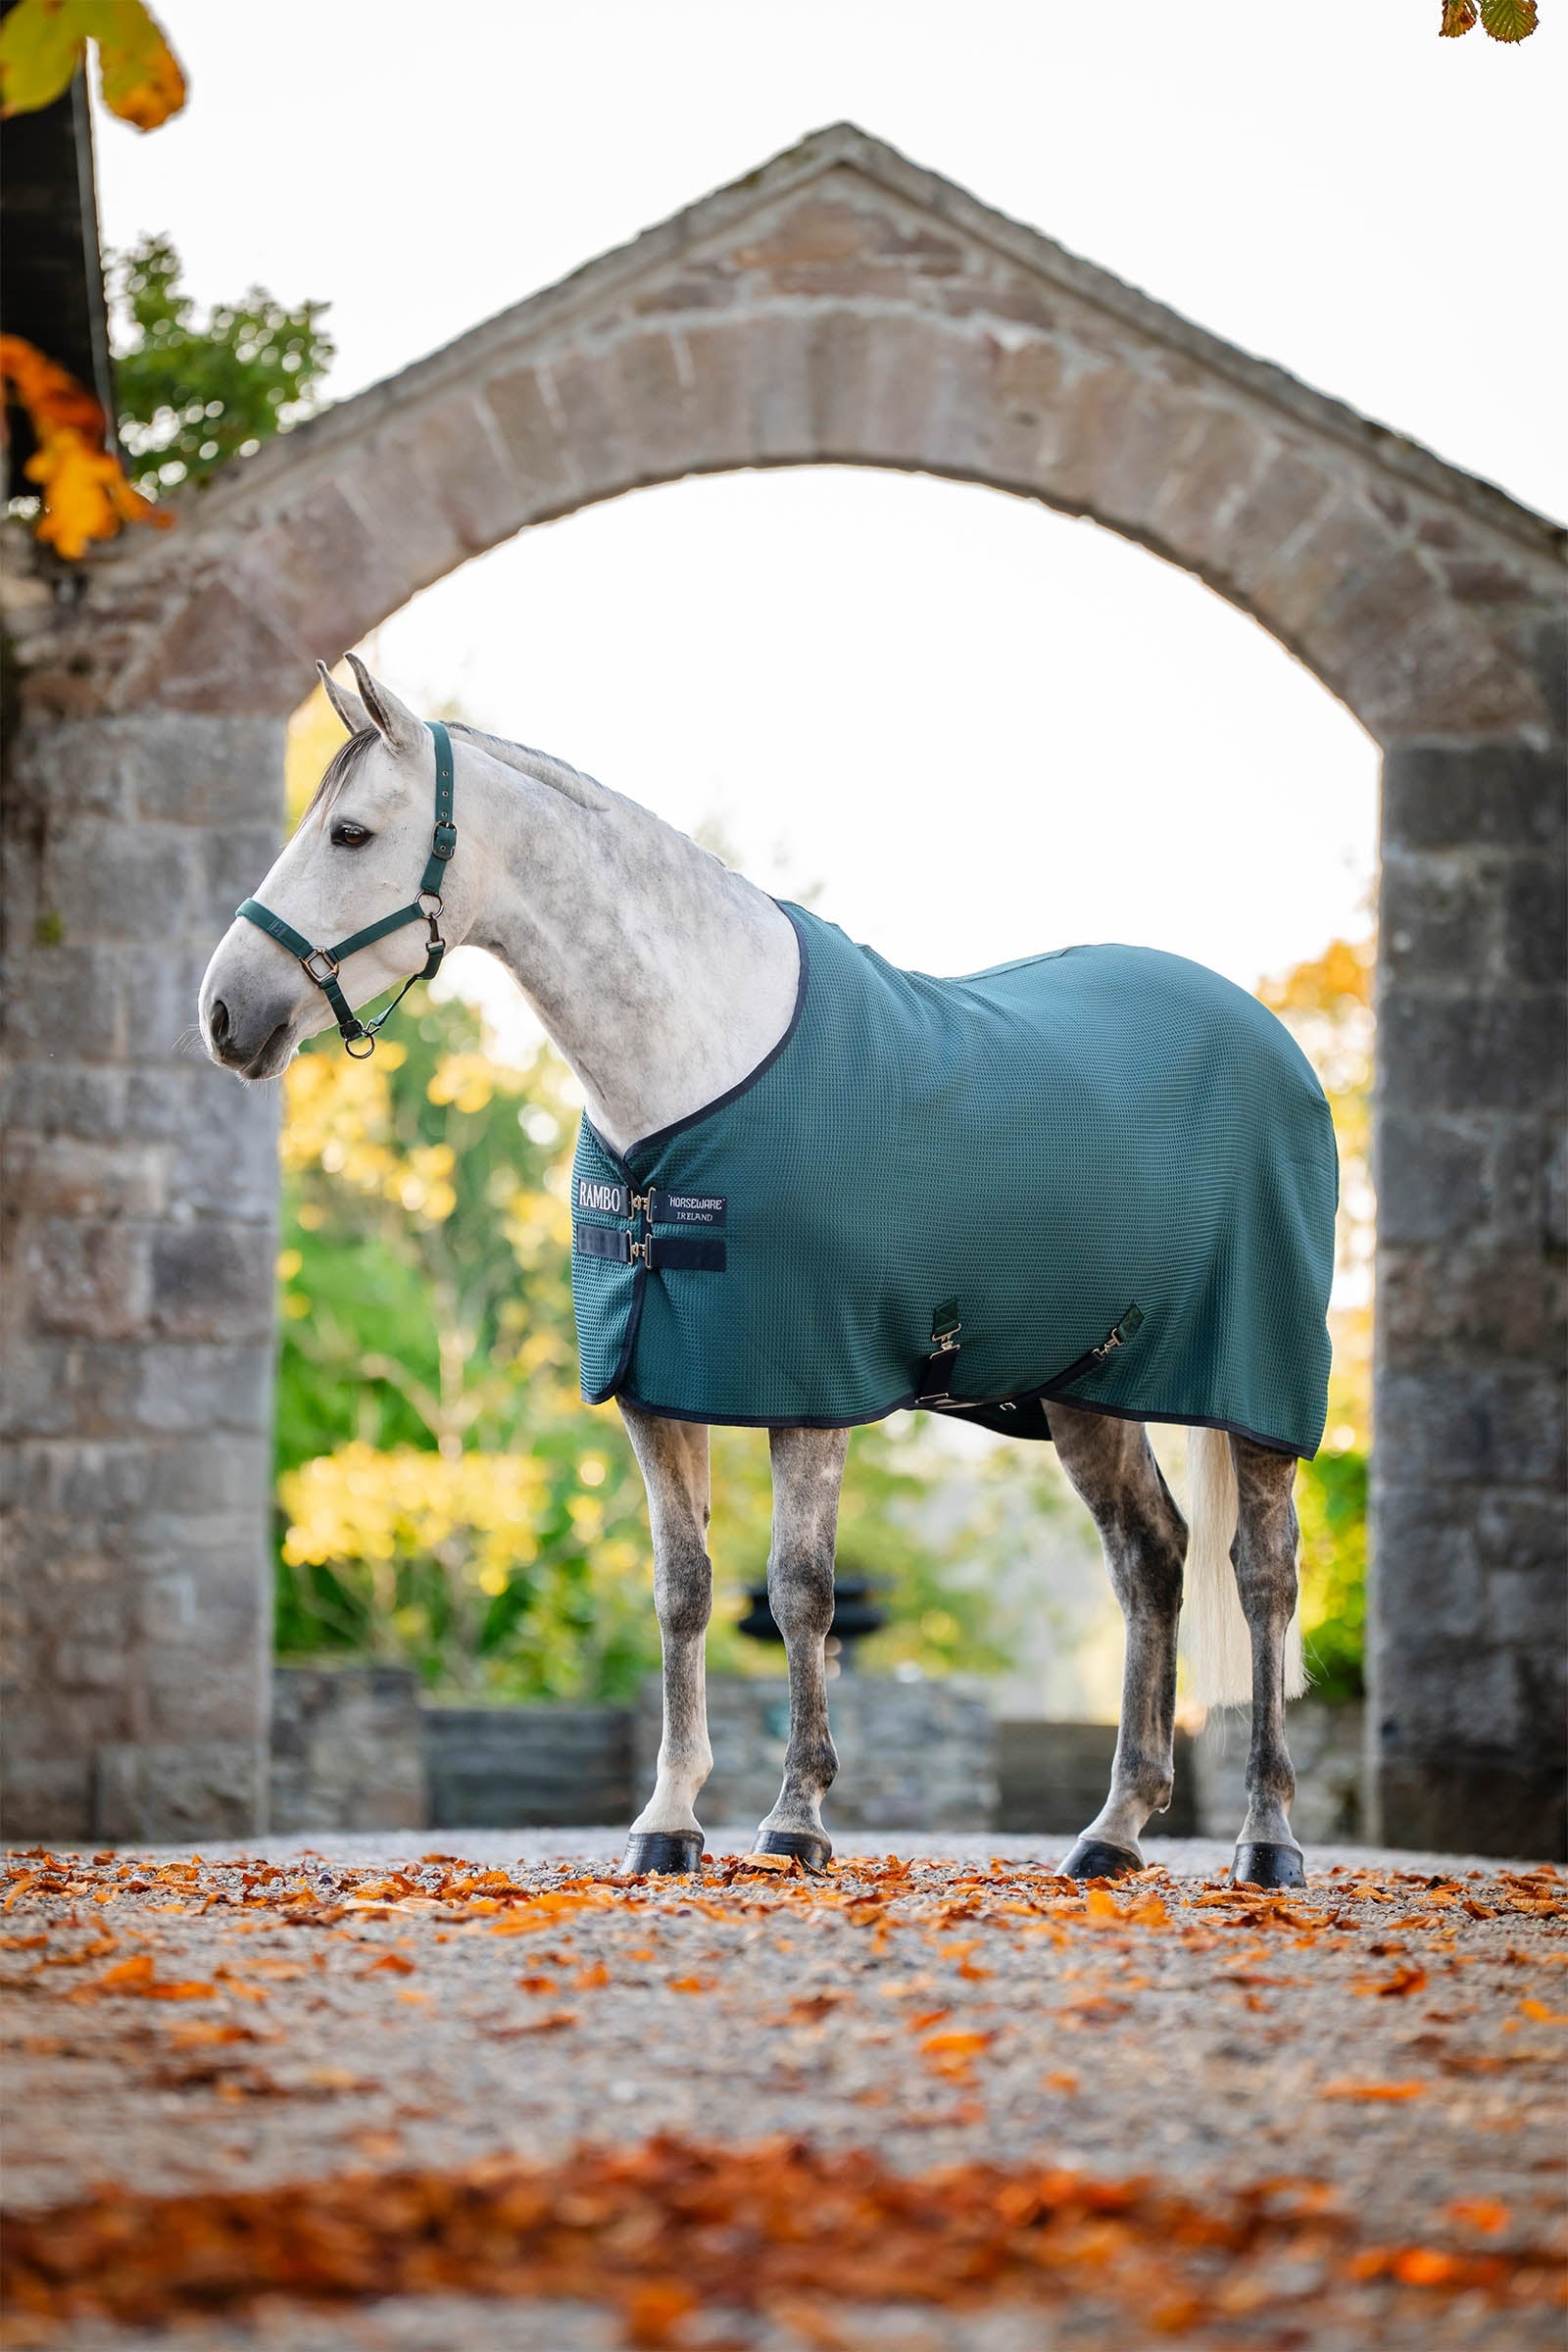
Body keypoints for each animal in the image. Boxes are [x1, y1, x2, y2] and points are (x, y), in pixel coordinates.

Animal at [200, 655, 1333, 1890]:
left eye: (351, 832)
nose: (225, 1013)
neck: (696, 1074)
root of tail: (1269, 1038)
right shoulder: (654, 1389)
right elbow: (684, 1591)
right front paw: (668, 1820)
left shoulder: (811, 1386)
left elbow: (801, 1593)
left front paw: (796, 1819)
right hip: (1089, 1392)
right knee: (1152, 1561)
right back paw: (1113, 1832)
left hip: (1256, 1394)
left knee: (1263, 1577)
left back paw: (1267, 1839)